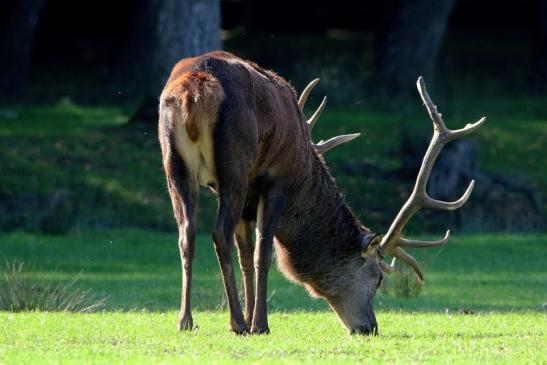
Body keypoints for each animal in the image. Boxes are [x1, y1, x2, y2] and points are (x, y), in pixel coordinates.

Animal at [157, 49, 484, 334]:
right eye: (378, 278)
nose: (370, 328)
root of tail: (194, 89)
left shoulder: (247, 198)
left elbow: (246, 256)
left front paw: (251, 317)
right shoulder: (278, 179)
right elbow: (264, 253)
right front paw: (258, 324)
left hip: (174, 163)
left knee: (187, 234)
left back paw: (186, 320)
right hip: (234, 165)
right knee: (218, 234)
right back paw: (236, 323)